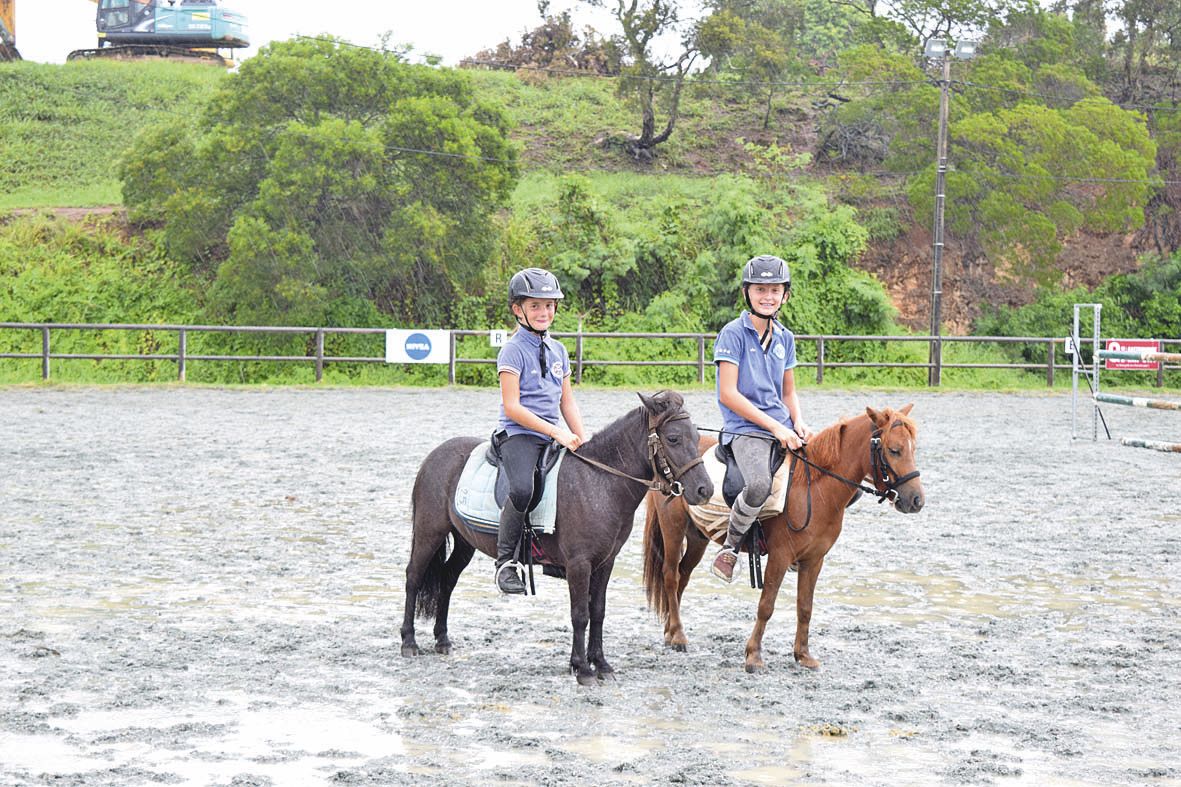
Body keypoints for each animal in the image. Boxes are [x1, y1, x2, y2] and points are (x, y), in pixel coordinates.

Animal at [401, 389, 708, 680]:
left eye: (696, 436)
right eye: (673, 438)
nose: (705, 489)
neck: (599, 483)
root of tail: (436, 454)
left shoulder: (605, 562)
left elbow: (598, 611)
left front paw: (600, 664)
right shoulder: (579, 564)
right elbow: (580, 614)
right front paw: (582, 669)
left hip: (465, 541)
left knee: (448, 579)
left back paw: (442, 640)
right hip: (429, 533)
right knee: (414, 577)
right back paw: (409, 642)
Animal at [642, 404, 925, 666]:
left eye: (913, 449)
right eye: (894, 450)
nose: (916, 500)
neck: (814, 489)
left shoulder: (814, 560)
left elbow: (805, 607)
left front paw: (803, 655)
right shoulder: (779, 556)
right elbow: (766, 605)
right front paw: (754, 655)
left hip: (697, 537)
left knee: (683, 576)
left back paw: (670, 631)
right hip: (673, 527)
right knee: (671, 576)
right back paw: (678, 636)